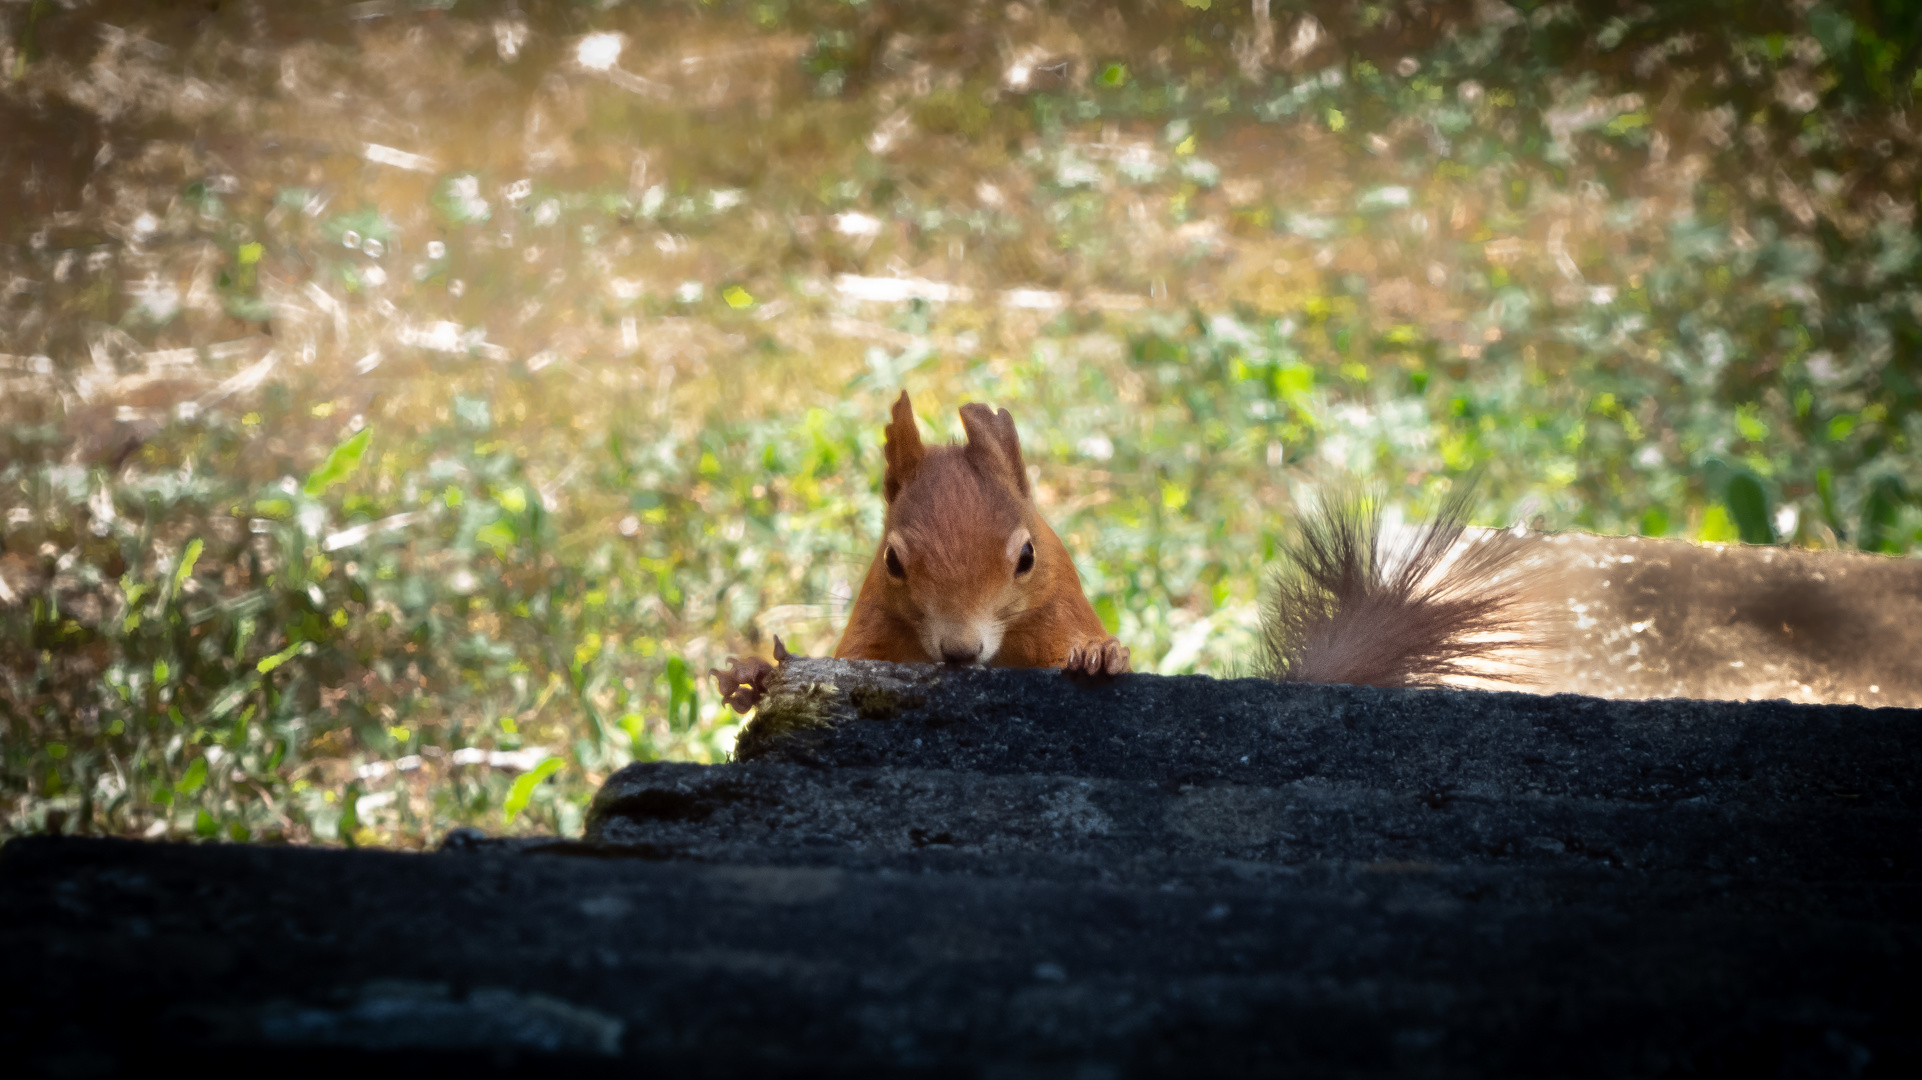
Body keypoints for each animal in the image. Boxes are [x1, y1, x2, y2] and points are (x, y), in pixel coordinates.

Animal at [714, 390, 1122, 711]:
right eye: (891, 561)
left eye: (1027, 557)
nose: (961, 651)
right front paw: (756, 673)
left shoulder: (1060, 611)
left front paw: (1099, 656)